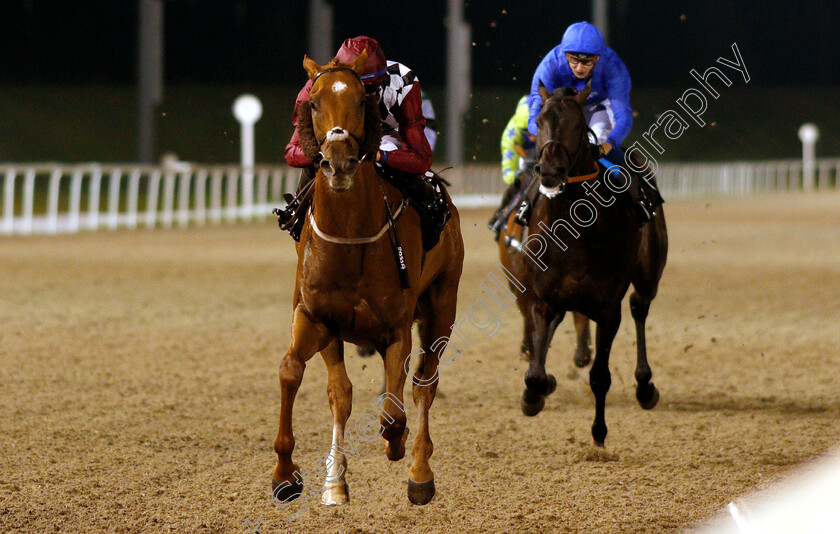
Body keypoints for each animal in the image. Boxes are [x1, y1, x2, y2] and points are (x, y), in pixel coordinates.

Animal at [272, 52, 462, 508]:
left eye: (362, 101)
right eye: (314, 103)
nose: (338, 162)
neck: (350, 239)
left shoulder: (397, 329)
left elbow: (394, 410)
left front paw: (397, 444)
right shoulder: (317, 318)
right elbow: (299, 375)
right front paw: (293, 476)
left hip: (442, 307)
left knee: (424, 384)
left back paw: (419, 472)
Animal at [498, 84, 668, 448]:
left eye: (577, 124)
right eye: (539, 121)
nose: (550, 171)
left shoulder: (607, 307)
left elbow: (600, 376)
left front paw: (599, 433)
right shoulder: (539, 297)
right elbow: (534, 373)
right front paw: (535, 393)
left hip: (649, 273)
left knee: (639, 306)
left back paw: (645, 386)